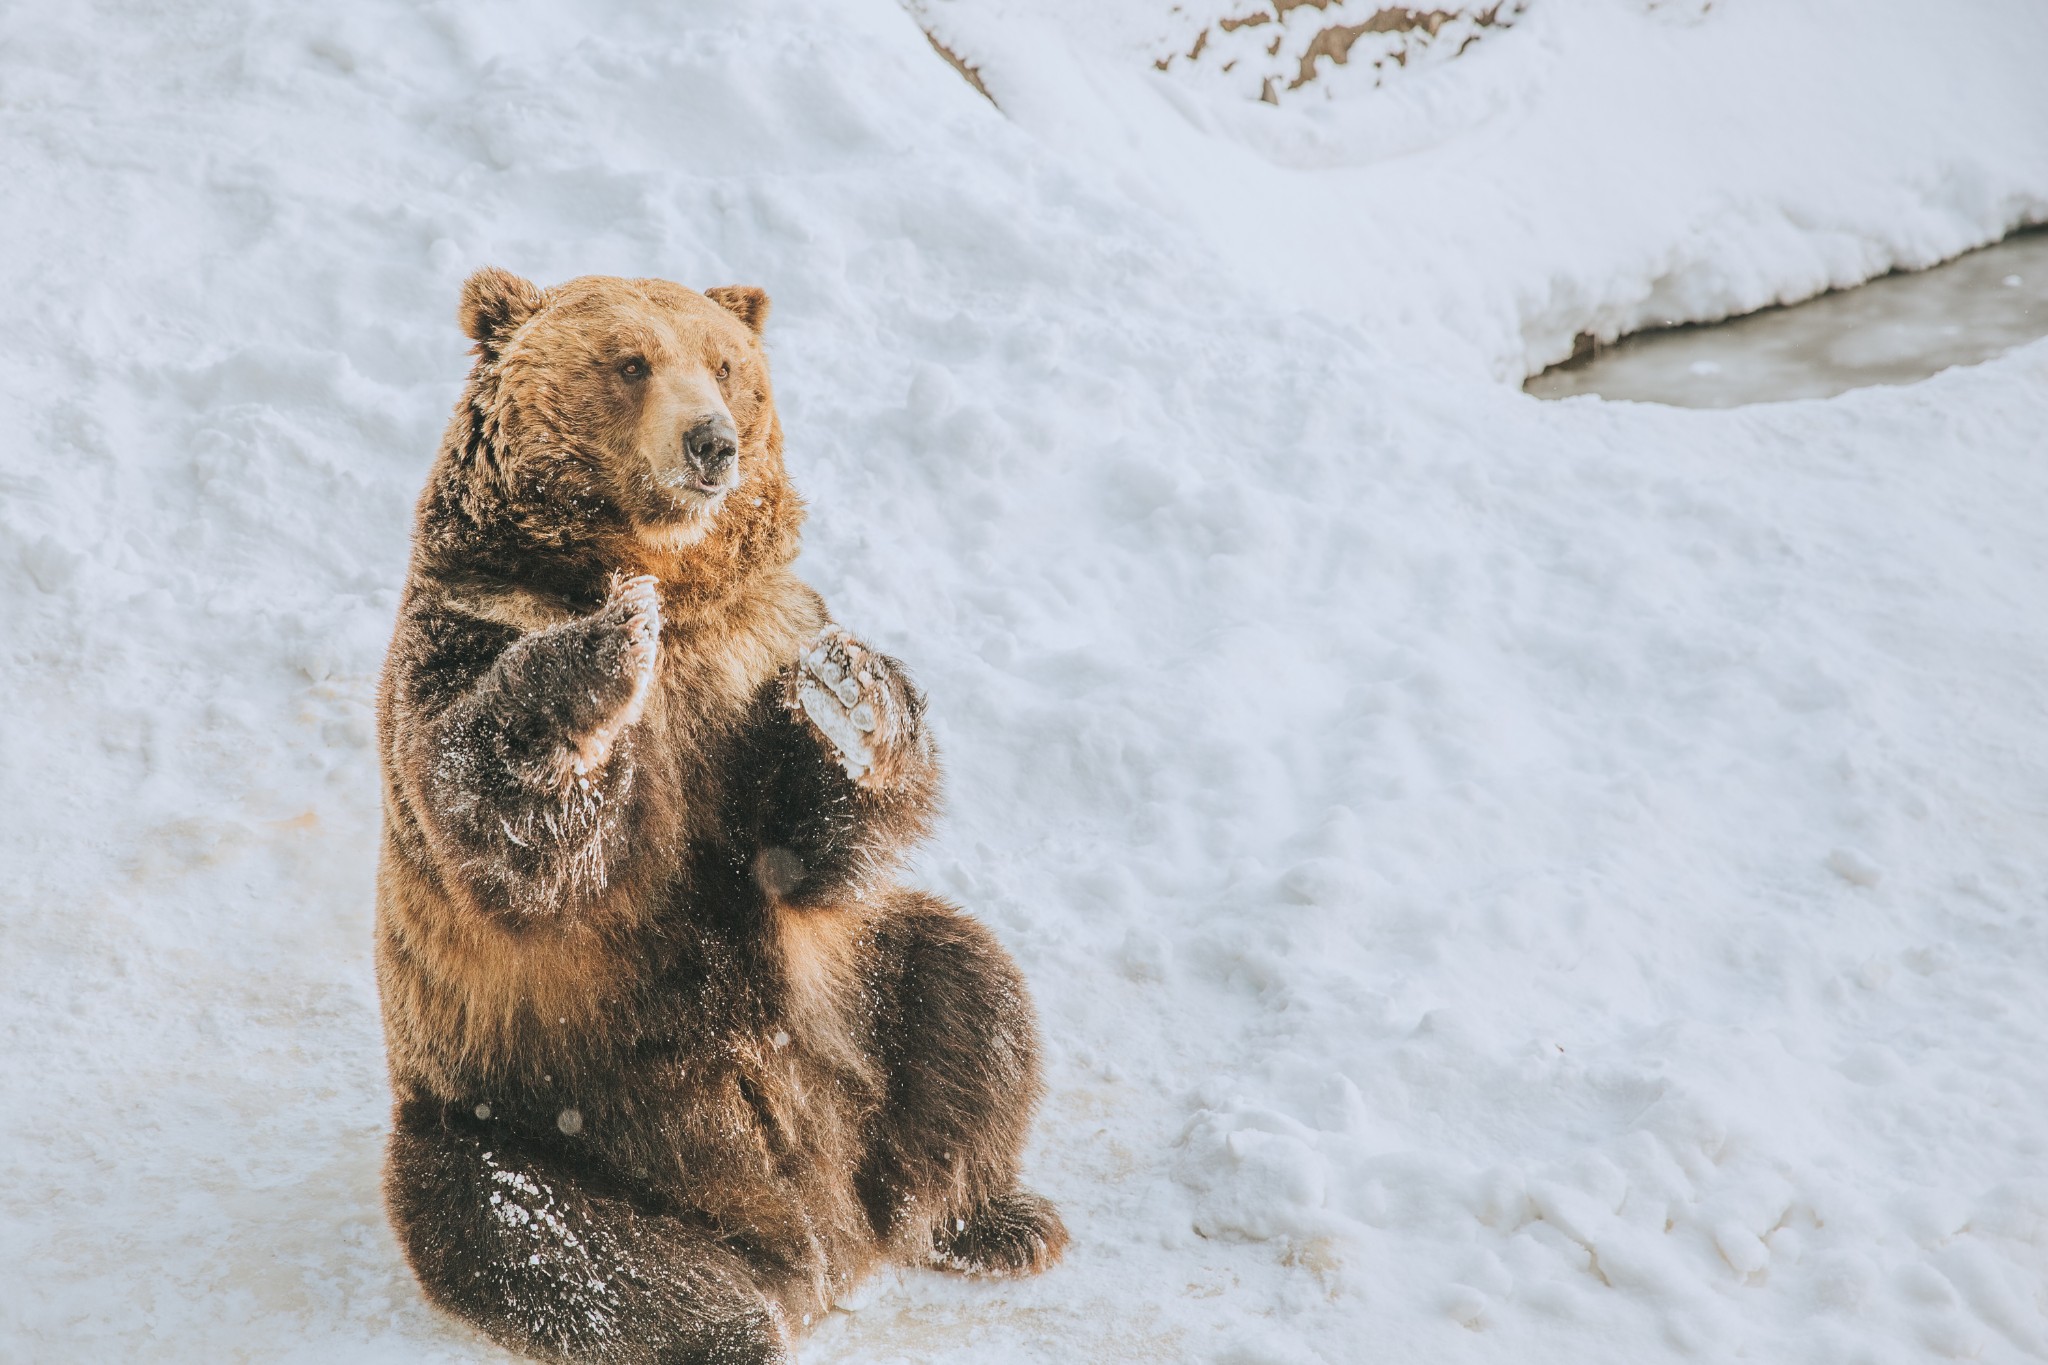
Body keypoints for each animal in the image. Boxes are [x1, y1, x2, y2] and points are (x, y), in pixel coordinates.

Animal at [372, 263, 1073, 1358]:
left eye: (727, 365)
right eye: (629, 362)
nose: (712, 442)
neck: (675, 580)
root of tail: (827, 1244)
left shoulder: (752, 660)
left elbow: (807, 845)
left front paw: (856, 696)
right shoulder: (464, 633)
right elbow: (508, 829)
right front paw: (606, 646)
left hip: (861, 1002)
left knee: (964, 989)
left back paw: (992, 1217)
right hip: (535, 1118)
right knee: (550, 1244)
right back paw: (732, 1321)